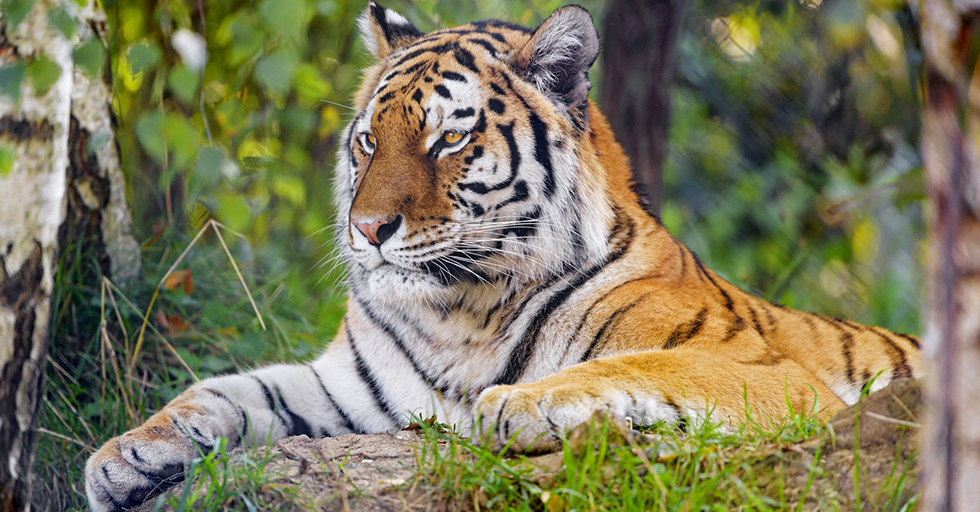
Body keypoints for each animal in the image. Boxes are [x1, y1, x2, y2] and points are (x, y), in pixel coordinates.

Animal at [85, 3, 924, 511]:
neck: (458, 310)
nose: (368, 228)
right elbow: (224, 390)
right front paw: (124, 455)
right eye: (369, 140)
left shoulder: (767, 371)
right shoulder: (349, 389)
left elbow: (644, 362)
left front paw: (515, 403)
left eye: (449, 137)